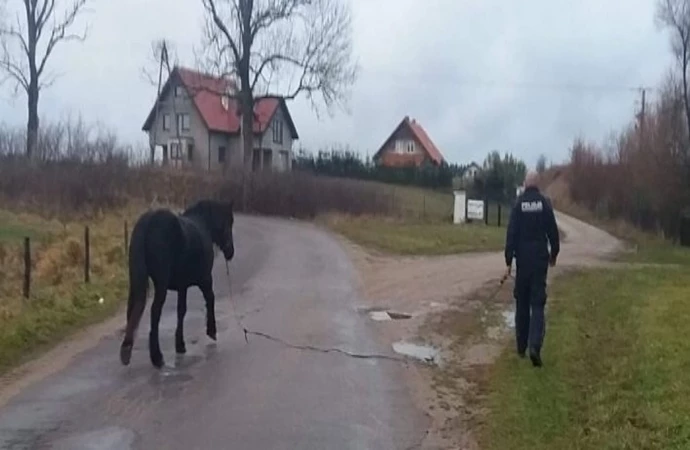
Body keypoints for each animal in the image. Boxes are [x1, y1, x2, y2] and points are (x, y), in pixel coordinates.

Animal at [119, 199, 235, 368]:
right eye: (229, 222)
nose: (230, 252)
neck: (203, 224)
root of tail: (148, 221)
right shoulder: (205, 279)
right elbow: (210, 299)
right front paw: (211, 331)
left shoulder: (182, 286)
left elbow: (181, 311)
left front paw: (180, 344)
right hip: (161, 285)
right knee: (155, 312)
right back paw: (157, 357)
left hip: (136, 280)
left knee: (132, 308)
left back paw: (127, 350)